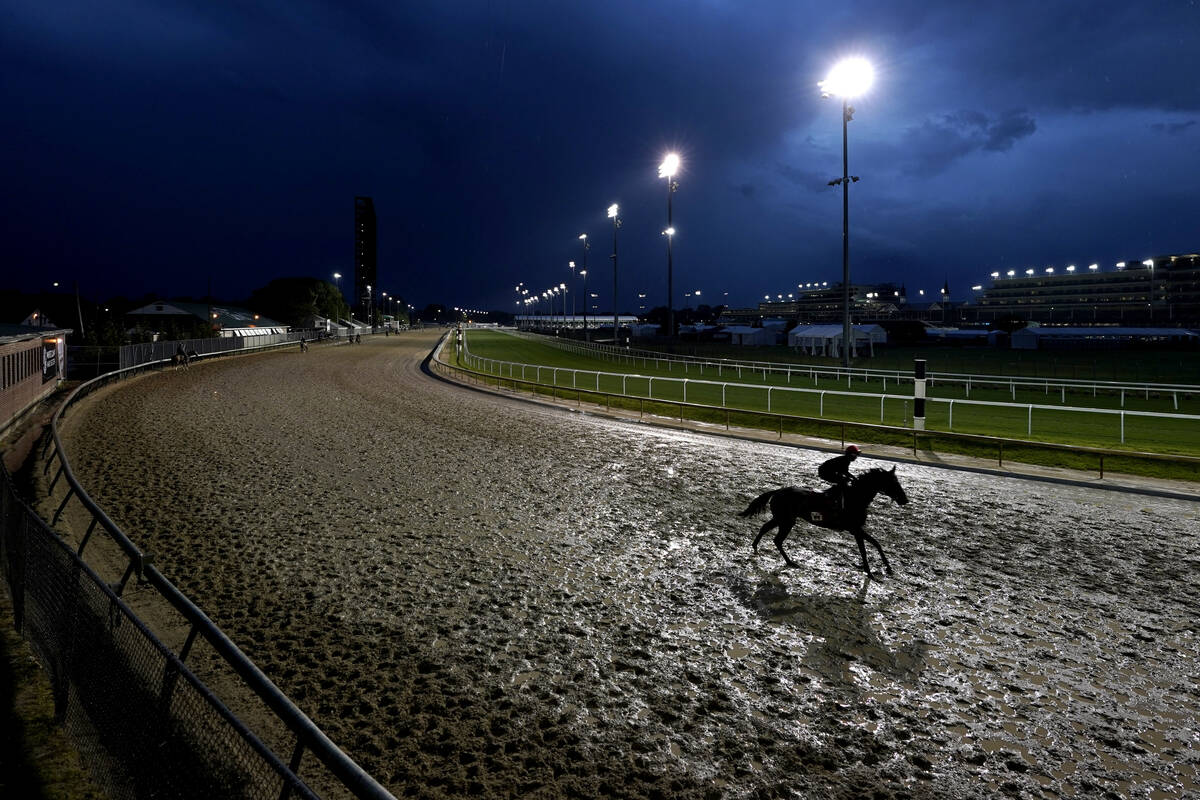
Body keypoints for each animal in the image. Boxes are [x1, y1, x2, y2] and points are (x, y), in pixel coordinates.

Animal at [739, 470, 907, 575]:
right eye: (894, 483)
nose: (905, 499)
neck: (855, 498)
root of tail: (777, 491)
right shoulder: (855, 529)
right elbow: (864, 550)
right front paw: (869, 572)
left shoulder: (857, 529)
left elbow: (876, 544)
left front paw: (888, 568)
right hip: (786, 521)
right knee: (777, 539)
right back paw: (790, 561)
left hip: (781, 518)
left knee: (765, 528)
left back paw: (755, 547)